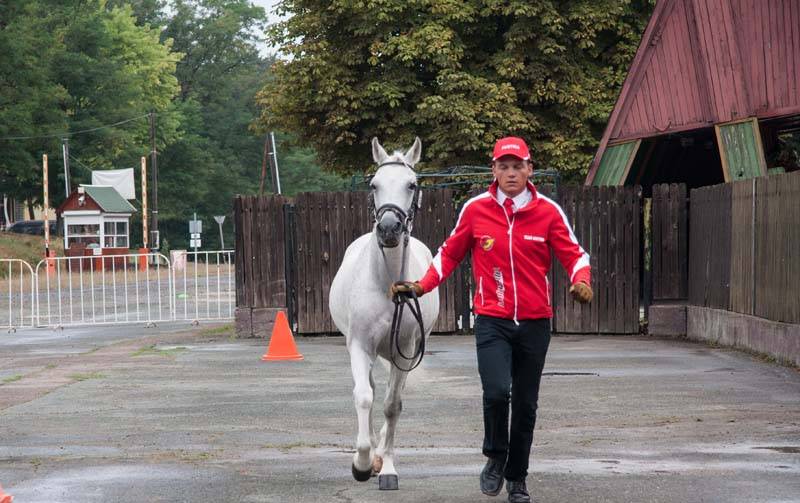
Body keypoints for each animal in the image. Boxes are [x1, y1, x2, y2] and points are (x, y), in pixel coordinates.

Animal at [329, 137, 440, 490]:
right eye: (374, 184)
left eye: (412, 184)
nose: (389, 229)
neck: (387, 286)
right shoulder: (359, 346)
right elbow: (364, 397)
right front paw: (361, 464)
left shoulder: (405, 350)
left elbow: (393, 406)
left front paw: (386, 467)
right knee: (371, 390)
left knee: (393, 397)